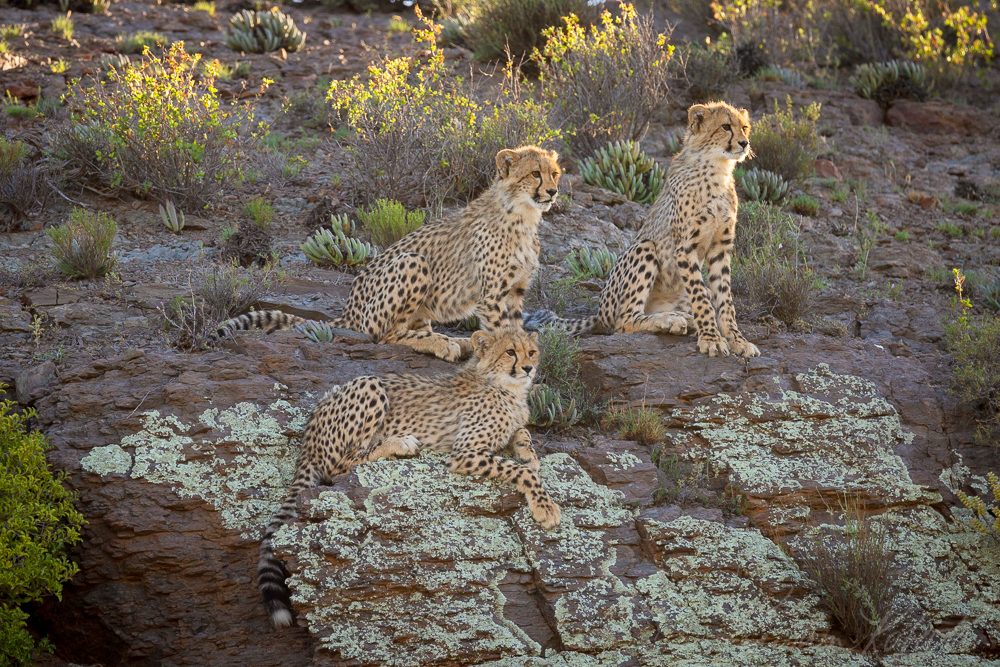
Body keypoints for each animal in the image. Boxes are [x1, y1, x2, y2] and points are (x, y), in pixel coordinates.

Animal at [217, 146, 561, 362]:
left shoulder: (514, 292)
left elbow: (514, 331)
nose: (554, 191)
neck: (523, 215)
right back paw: (442, 343)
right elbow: (504, 334)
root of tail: (349, 308)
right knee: (384, 336)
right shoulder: (493, 296)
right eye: (534, 173)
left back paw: (460, 342)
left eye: (554, 173)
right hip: (412, 262)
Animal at [257, 326, 560, 628]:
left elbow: (522, 432)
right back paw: (399, 443)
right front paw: (546, 507)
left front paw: (529, 454)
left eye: (531, 352)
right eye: (510, 352)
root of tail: (310, 426)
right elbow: (522, 471)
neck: (501, 384)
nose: (529, 368)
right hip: (369, 385)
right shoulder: (464, 452)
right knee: (341, 465)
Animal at [524, 102, 760, 358]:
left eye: (744, 127)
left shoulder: (720, 247)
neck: (718, 169)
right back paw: (670, 320)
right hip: (644, 248)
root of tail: (598, 313)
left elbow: (725, 298)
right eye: (726, 127)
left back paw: (682, 318)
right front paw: (711, 338)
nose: (744, 143)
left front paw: (737, 339)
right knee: (624, 321)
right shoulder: (685, 248)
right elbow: (701, 297)